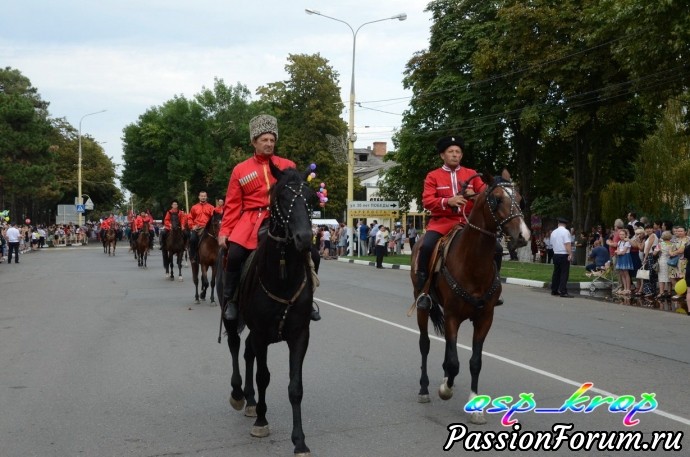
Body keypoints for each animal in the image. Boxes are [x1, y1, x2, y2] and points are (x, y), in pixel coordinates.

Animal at [216, 164, 316, 456]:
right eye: (282, 197)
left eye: (311, 198)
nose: (305, 238)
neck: (282, 276)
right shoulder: (262, 334)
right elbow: (263, 376)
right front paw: (261, 420)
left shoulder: (299, 335)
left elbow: (295, 387)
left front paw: (299, 441)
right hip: (232, 317)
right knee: (236, 346)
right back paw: (239, 395)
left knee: (247, 351)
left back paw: (250, 401)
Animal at [412, 170, 528, 424]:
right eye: (497, 200)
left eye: (520, 198)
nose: (523, 236)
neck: (473, 262)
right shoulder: (453, 316)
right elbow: (454, 361)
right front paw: (445, 389)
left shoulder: (485, 318)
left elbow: (474, 362)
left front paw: (475, 406)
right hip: (422, 306)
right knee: (424, 344)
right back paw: (424, 389)